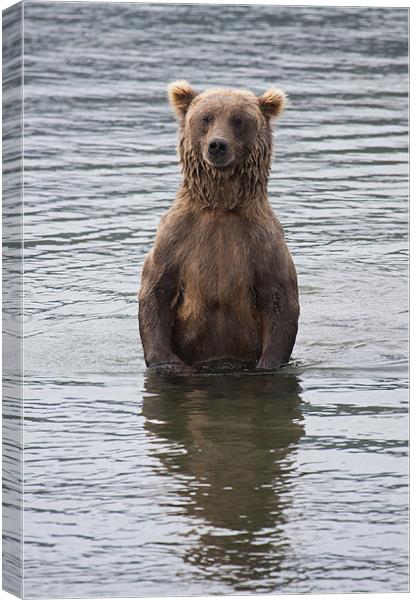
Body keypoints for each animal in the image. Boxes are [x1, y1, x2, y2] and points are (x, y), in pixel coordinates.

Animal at [139, 82, 300, 372]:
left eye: (238, 120)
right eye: (206, 118)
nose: (217, 145)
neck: (221, 206)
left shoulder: (263, 242)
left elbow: (279, 299)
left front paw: (268, 363)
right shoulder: (176, 238)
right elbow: (156, 291)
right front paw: (167, 363)